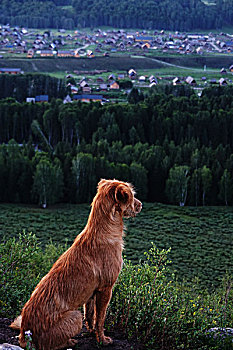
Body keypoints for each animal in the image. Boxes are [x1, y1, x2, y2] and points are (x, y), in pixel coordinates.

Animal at [10, 179, 142, 348]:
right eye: (132, 196)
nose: (141, 205)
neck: (103, 229)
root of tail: (24, 335)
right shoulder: (106, 289)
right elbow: (100, 319)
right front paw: (102, 340)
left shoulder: (92, 292)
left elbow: (91, 315)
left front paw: (92, 332)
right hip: (74, 316)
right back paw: (70, 341)